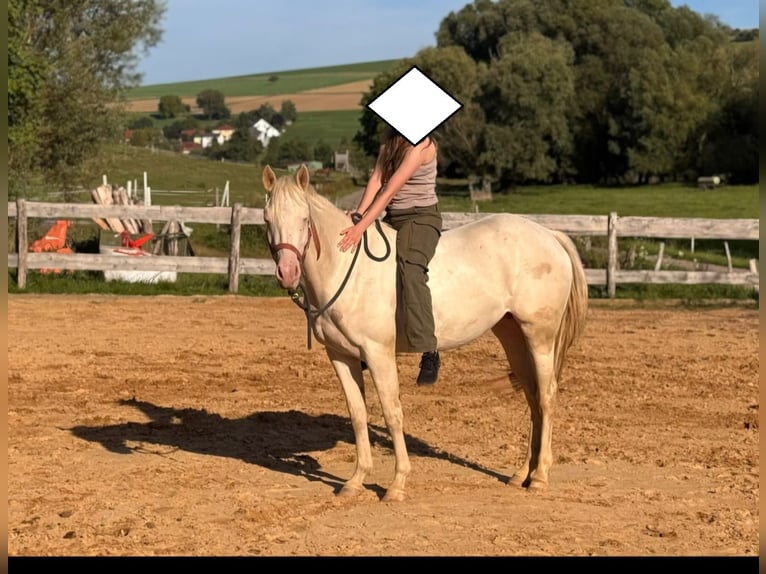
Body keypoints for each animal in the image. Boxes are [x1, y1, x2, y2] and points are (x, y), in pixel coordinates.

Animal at [261, 164, 588, 502]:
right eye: (267, 220)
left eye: (304, 219)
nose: (287, 273)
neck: (346, 267)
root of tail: (549, 235)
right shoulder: (340, 356)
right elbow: (357, 414)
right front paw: (355, 480)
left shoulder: (378, 354)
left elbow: (392, 412)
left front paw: (397, 484)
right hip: (513, 335)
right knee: (533, 397)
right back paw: (522, 474)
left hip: (540, 336)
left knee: (547, 396)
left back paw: (540, 476)